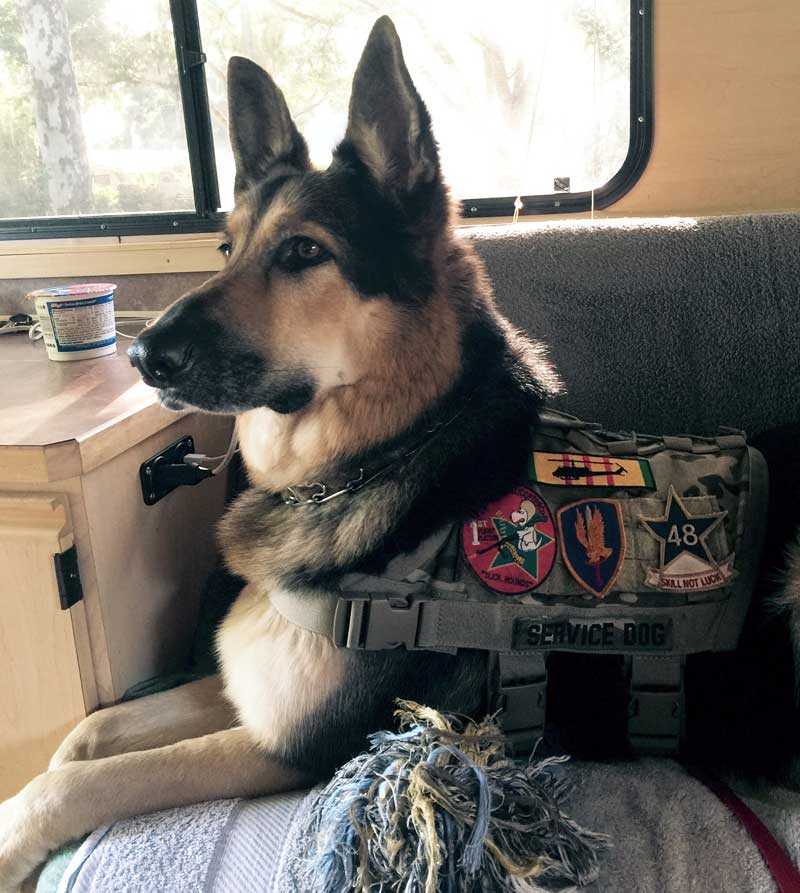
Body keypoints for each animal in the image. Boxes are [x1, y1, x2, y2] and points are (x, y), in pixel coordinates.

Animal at [0, 17, 560, 888]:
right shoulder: (240, 692)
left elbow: (78, 782)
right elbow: (85, 735)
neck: (377, 455)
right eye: (226, 247)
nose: (142, 357)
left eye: (303, 252)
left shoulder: (287, 747)